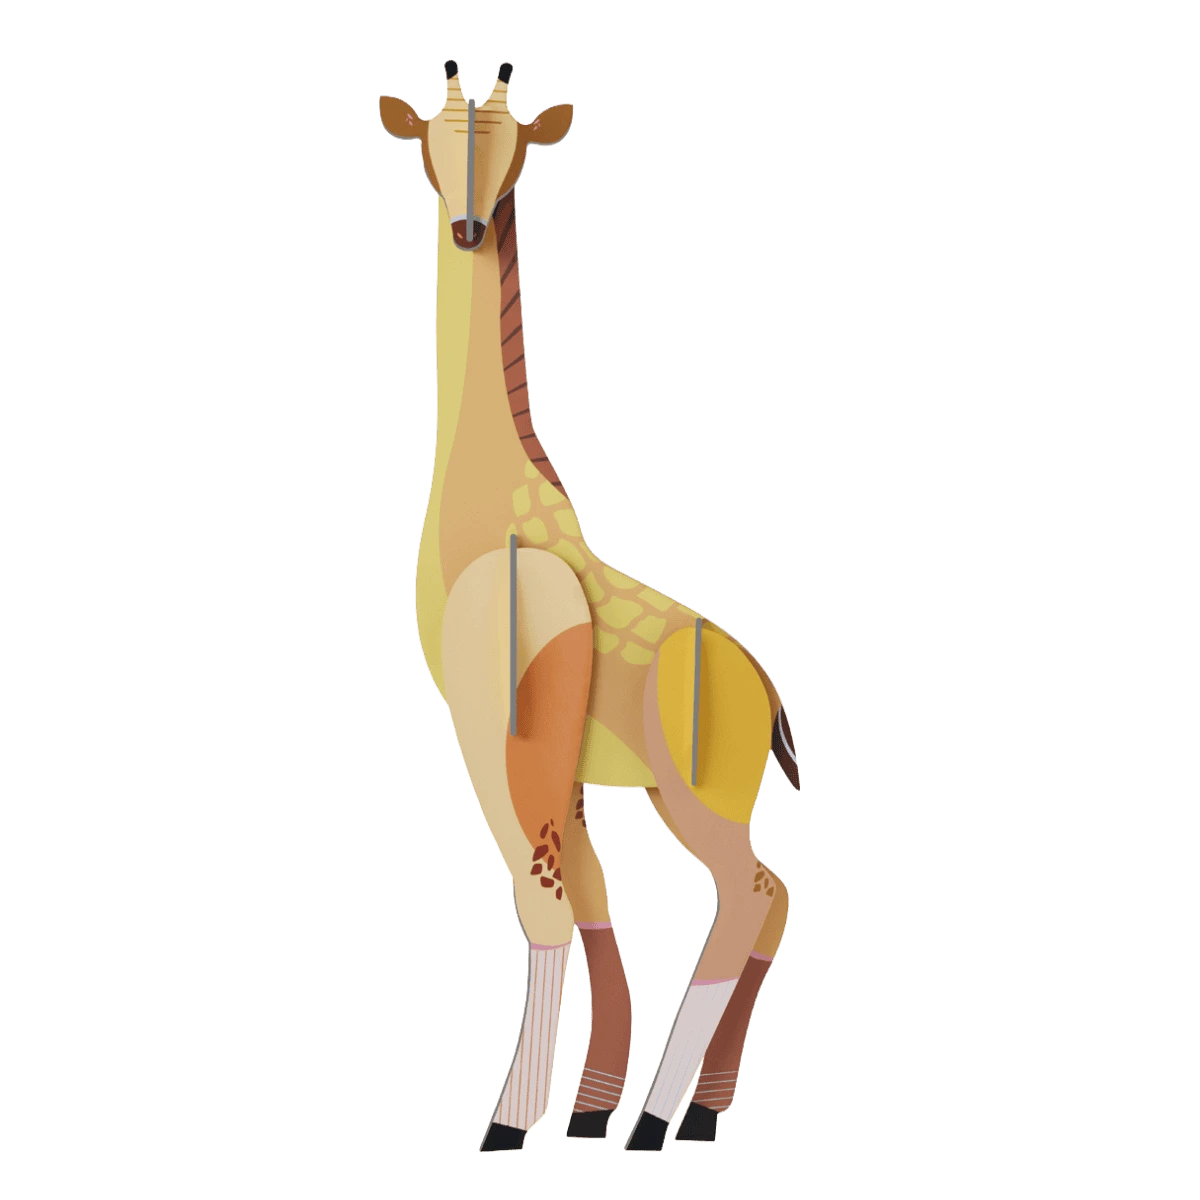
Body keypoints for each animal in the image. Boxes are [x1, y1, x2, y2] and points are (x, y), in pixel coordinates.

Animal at [383, 60, 800, 1154]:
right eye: (429, 146)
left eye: (516, 152)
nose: (469, 228)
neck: (483, 504)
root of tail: (765, 691)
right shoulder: (560, 758)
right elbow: (592, 899)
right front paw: (581, 1110)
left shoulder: (498, 725)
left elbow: (544, 905)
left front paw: (512, 1121)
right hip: (697, 791)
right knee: (772, 894)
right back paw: (696, 1113)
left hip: (693, 794)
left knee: (748, 890)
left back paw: (661, 1118)